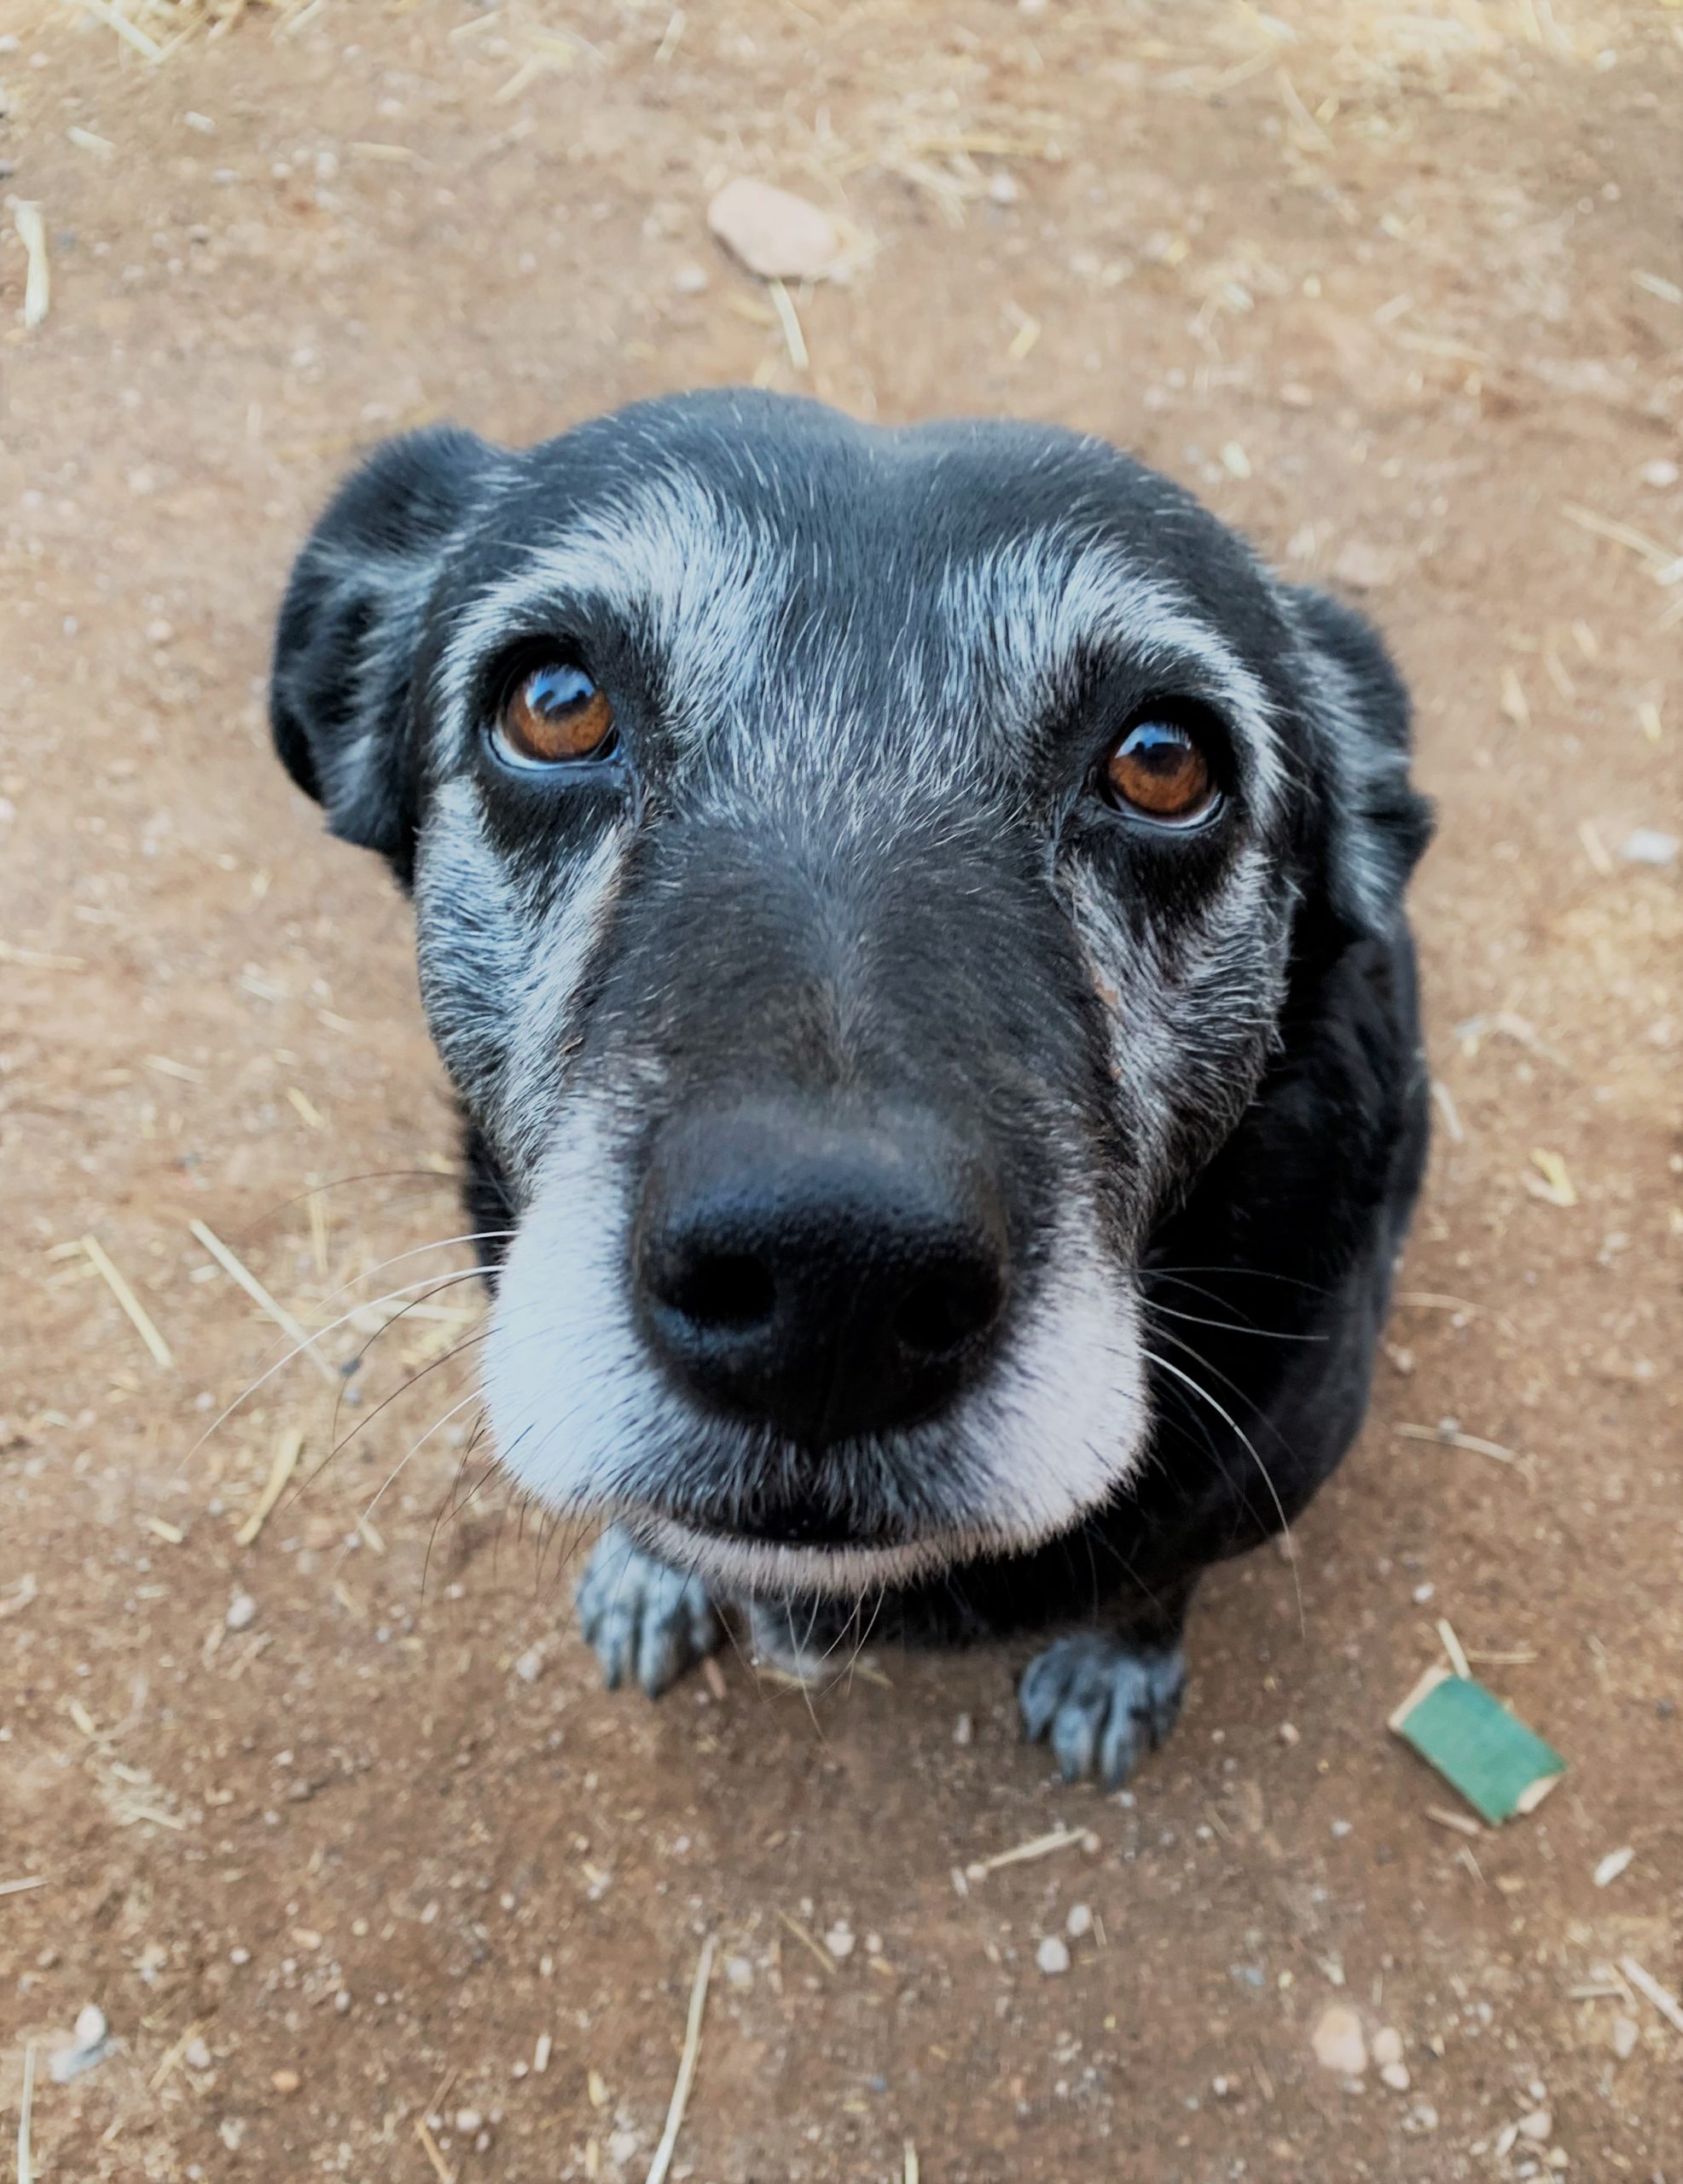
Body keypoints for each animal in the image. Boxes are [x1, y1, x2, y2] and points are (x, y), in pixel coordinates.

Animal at [270, 392, 1431, 1781]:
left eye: (1165, 760)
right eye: (553, 702)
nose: (832, 1284)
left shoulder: (1261, 1473)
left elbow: (1159, 1576)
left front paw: (1112, 1664)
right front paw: (651, 1572)